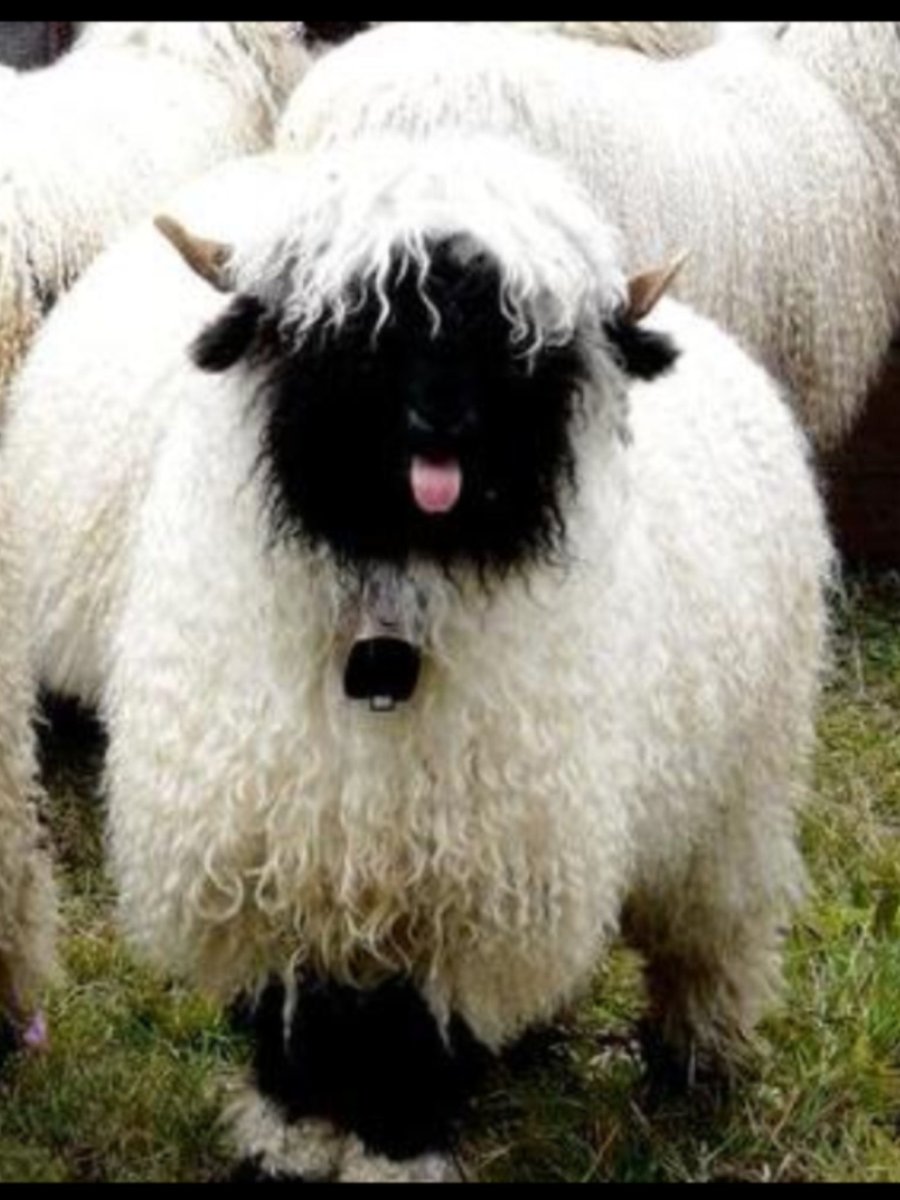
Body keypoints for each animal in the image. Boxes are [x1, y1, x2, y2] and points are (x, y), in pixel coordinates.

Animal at [2, 129, 832, 1181]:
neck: (388, 611)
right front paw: (290, 1140)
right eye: (358, 325)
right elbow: (294, 1024)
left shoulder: (466, 888)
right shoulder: (278, 858)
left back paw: (696, 1069)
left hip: (733, 801)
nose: (443, 423)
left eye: (519, 340)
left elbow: (417, 1042)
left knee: (715, 935)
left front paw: (394, 1149)